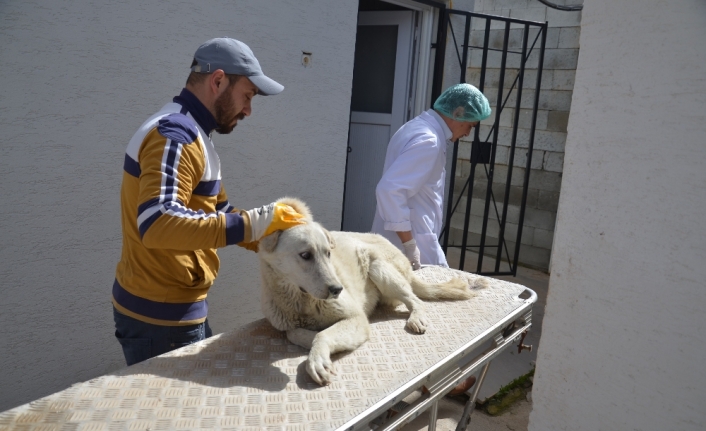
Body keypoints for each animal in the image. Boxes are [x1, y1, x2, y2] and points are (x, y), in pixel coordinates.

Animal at [256, 198, 482, 384]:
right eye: (305, 255)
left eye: (328, 253)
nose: (337, 289)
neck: (302, 302)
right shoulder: (288, 325)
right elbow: (294, 333)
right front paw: (311, 340)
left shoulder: (356, 318)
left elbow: (322, 335)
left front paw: (317, 357)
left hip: (378, 267)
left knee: (416, 300)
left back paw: (416, 317)